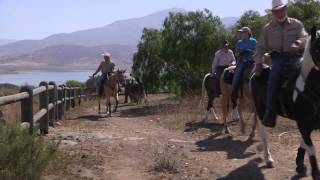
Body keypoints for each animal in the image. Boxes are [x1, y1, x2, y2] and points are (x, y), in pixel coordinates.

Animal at [251, 26, 320, 179]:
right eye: (317, 49)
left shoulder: (310, 125)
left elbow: (304, 143)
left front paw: (300, 165)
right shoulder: (303, 124)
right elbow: (311, 150)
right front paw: (312, 171)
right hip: (260, 110)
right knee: (263, 131)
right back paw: (268, 158)